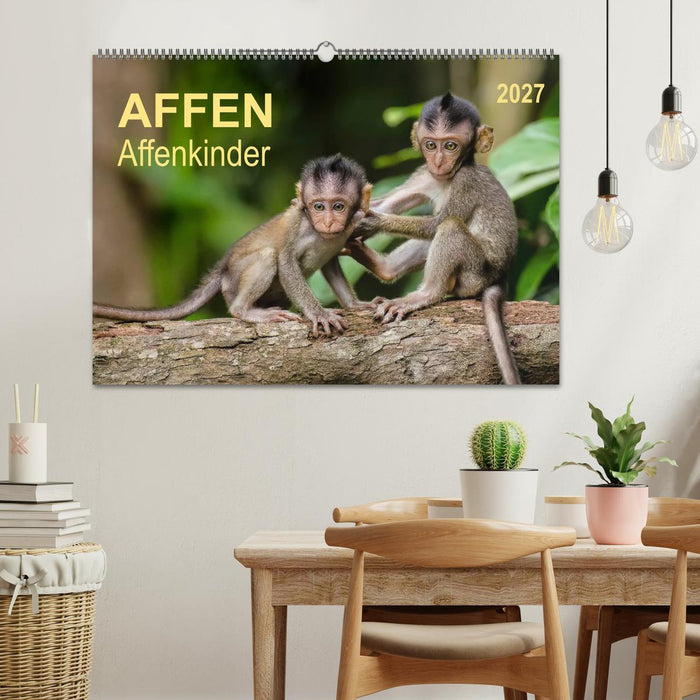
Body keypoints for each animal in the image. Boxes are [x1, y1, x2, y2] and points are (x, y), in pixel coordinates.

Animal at [93, 154, 374, 338]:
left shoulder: (351, 225)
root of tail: (223, 270)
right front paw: (319, 314)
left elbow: (331, 263)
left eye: (338, 206)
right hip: (234, 282)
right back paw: (246, 310)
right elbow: (285, 261)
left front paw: (355, 305)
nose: (327, 221)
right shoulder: (297, 221)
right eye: (318, 206)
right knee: (267, 256)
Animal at [347, 92, 521, 384]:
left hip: (475, 274)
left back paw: (426, 294)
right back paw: (383, 268)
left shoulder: (466, 182)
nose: (439, 162)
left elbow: (436, 224)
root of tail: (500, 276)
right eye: (431, 145)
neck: (447, 179)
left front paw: (374, 222)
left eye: (451, 146)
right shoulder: (424, 175)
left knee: (449, 227)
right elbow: (388, 203)